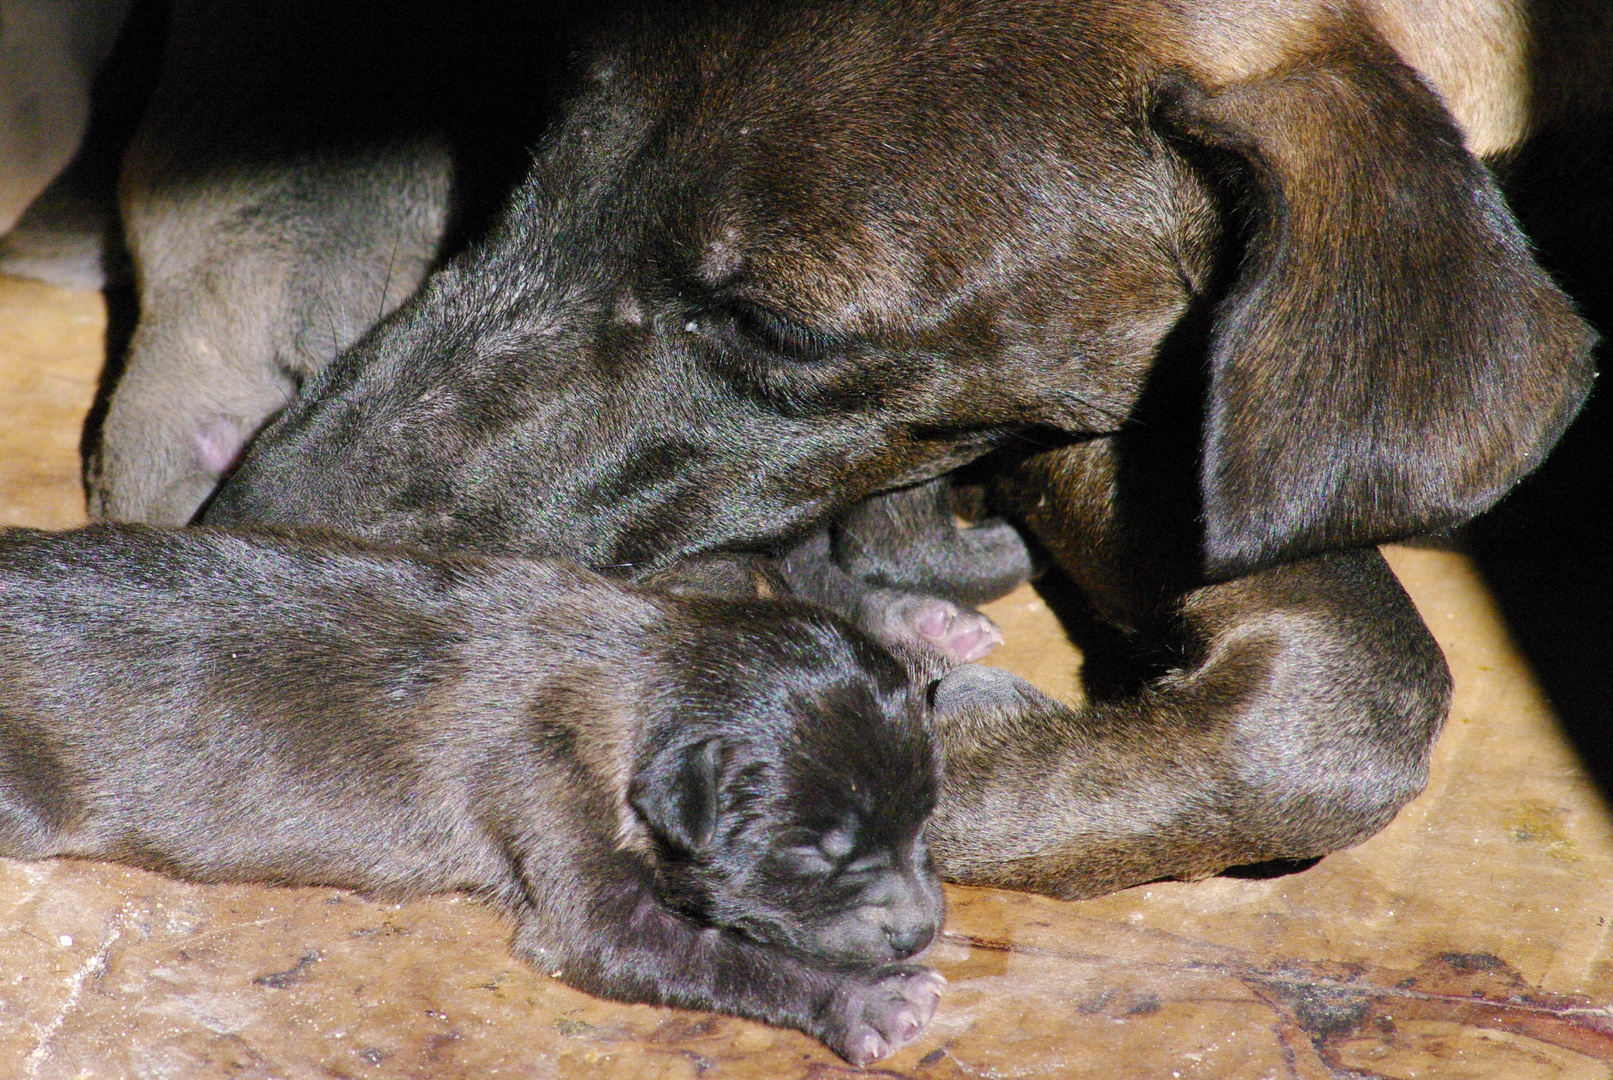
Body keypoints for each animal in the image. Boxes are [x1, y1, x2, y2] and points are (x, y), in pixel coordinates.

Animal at [0, 525, 941, 1063]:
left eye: (926, 819)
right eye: (813, 855)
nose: (923, 930)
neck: (648, 672)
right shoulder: (553, 804)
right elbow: (715, 952)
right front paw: (868, 998)